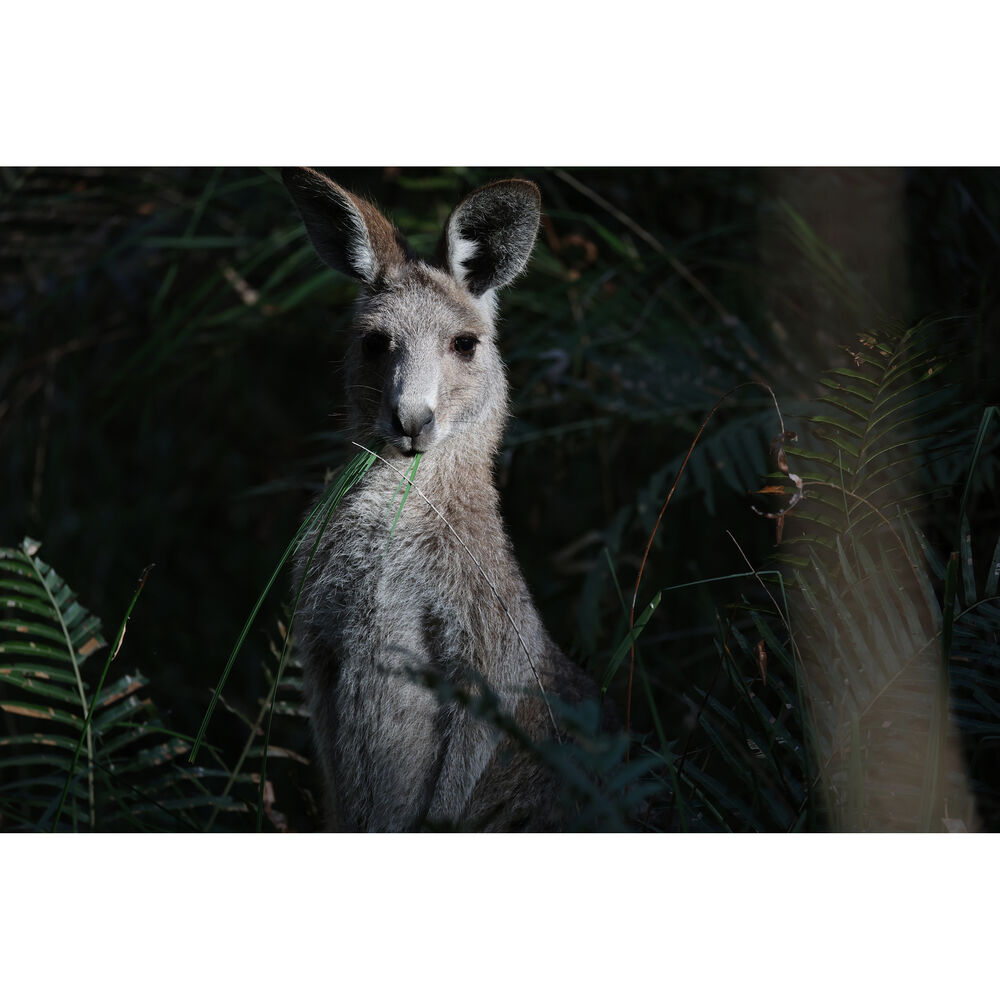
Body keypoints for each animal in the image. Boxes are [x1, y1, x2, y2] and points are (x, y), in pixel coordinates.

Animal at [283, 168, 606, 831]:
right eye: (374, 343)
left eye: (464, 344)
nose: (411, 421)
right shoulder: (318, 630)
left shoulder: (490, 640)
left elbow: (473, 739)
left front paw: (435, 823)